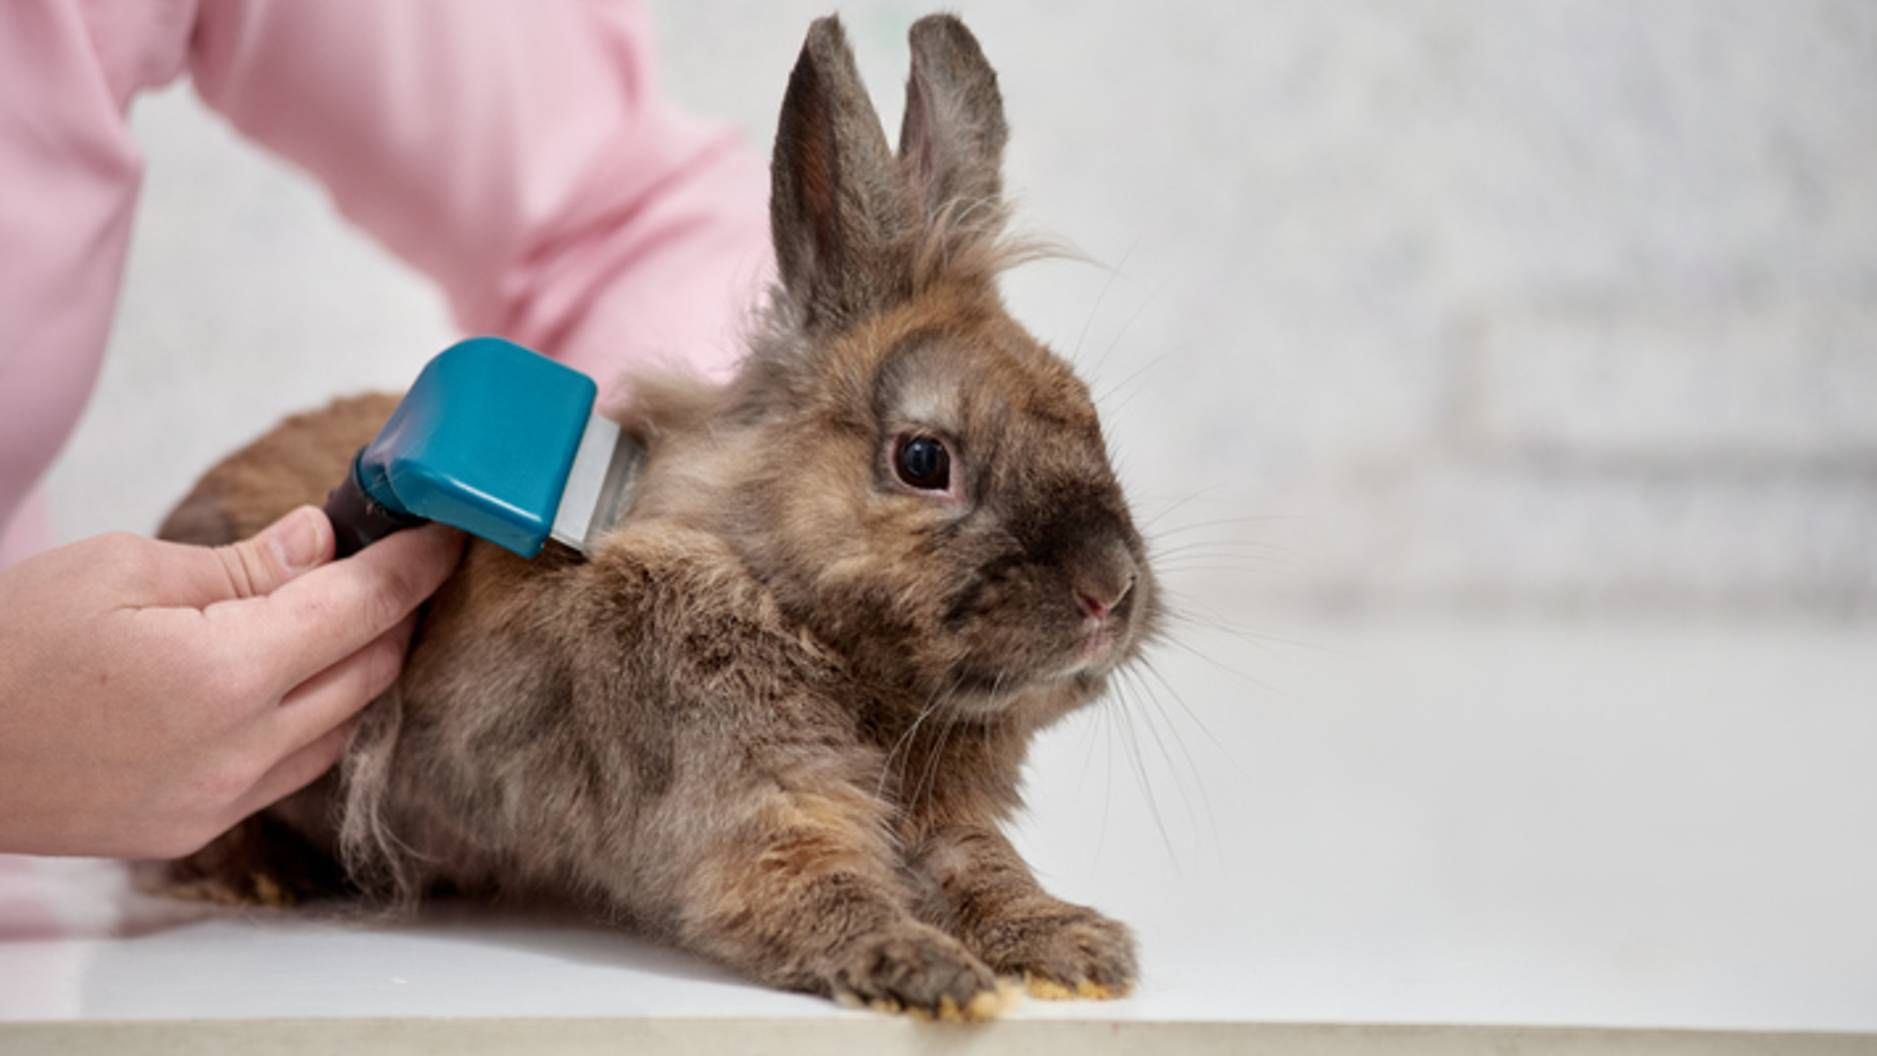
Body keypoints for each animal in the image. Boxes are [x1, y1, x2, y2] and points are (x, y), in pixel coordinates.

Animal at [156, 13, 1157, 1018]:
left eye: (1087, 413)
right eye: (922, 460)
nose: (1109, 592)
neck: (783, 600)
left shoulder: (939, 821)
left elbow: (981, 872)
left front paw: (1073, 949)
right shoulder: (750, 810)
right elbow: (816, 889)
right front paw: (926, 972)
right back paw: (255, 877)